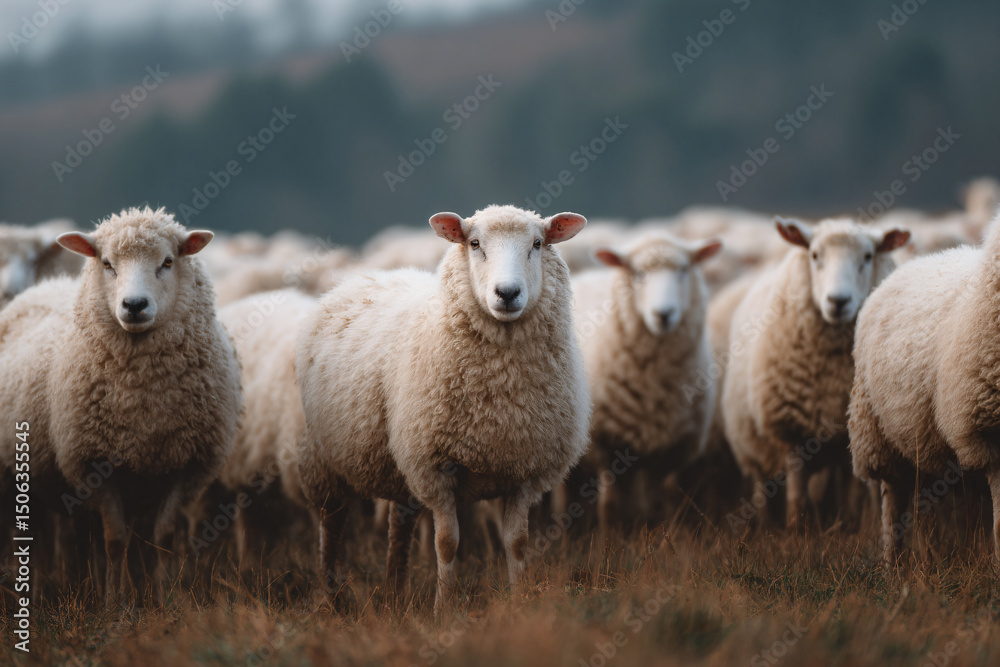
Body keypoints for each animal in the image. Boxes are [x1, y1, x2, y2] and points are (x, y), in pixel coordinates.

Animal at [0, 207, 242, 602]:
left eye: (167, 262)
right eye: (108, 264)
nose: (134, 305)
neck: (141, 396)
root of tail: (43, 286)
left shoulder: (185, 464)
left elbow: (164, 537)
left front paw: (163, 597)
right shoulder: (93, 463)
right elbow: (115, 540)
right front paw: (116, 602)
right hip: (14, 477)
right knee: (28, 535)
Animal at [295, 205, 591, 612]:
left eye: (537, 243)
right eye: (475, 243)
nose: (508, 293)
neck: (501, 399)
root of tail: (363, 277)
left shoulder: (525, 472)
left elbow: (517, 544)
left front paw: (518, 603)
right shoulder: (434, 469)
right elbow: (447, 544)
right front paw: (444, 609)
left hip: (399, 465)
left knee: (399, 526)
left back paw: (394, 592)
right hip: (324, 461)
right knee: (332, 526)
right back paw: (331, 597)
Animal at [571, 231, 722, 532]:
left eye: (684, 270)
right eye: (639, 273)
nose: (663, 314)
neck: (652, 384)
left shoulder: (669, 450)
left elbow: (656, 504)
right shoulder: (604, 445)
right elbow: (611, 505)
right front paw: (609, 538)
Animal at [722, 217, 910, 530]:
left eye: (868, 255)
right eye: (814, 255)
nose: (838, 301)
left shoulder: (851, 432)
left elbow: (857, 488)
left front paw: (856, 524)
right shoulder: (790, 431)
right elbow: (797, 493)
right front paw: (797, 530)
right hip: (751, 444)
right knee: (762, 485)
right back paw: (766, 525)